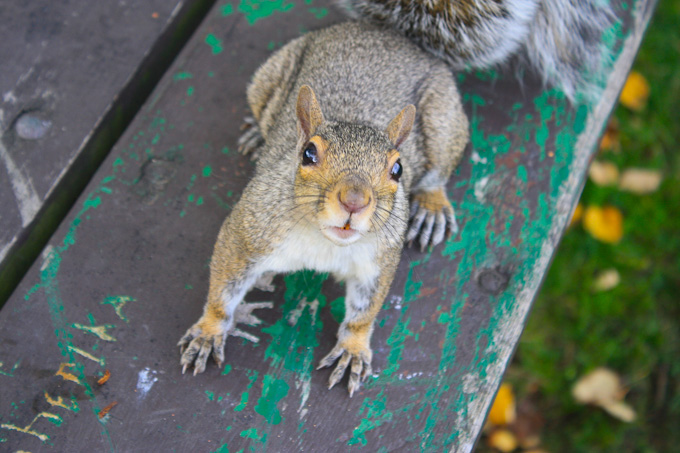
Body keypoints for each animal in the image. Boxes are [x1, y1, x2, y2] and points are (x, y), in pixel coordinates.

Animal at [178, 0, 612, 394]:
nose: (354, 202)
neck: (323, 242)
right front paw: (209, 332)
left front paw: (353, 349)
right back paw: (256, 132)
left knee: (438, 173)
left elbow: (363, 312)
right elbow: (223, 290)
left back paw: (432, 207)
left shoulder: (378, 260)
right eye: (308, 154)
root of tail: (395, 37)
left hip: (444, 121)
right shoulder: (249, 230)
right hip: (269, 77)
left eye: (397, 170)